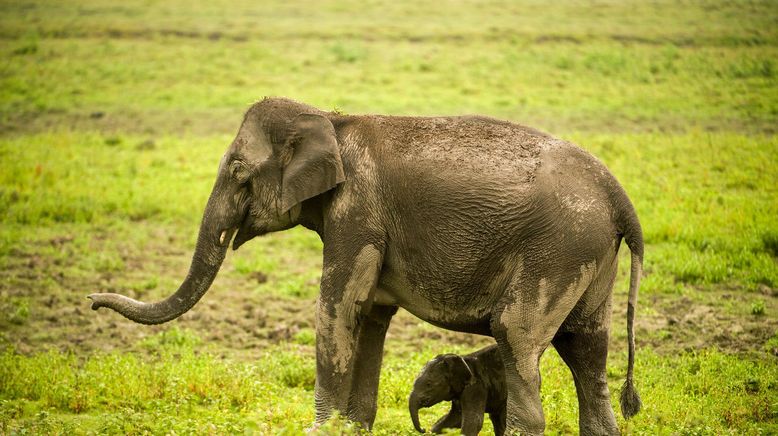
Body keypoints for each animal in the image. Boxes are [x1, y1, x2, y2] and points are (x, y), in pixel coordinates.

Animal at [88, 97, 640, 434]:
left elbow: (338, 307)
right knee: (586, 348)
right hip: (588, 257)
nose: (92, 300)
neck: (329, 119)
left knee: (516, 333)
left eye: (239, 172)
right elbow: (371, 315)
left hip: (559, 248)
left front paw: (318, 430)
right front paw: (350, 428)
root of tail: (620, 198)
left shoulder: (357, 212)